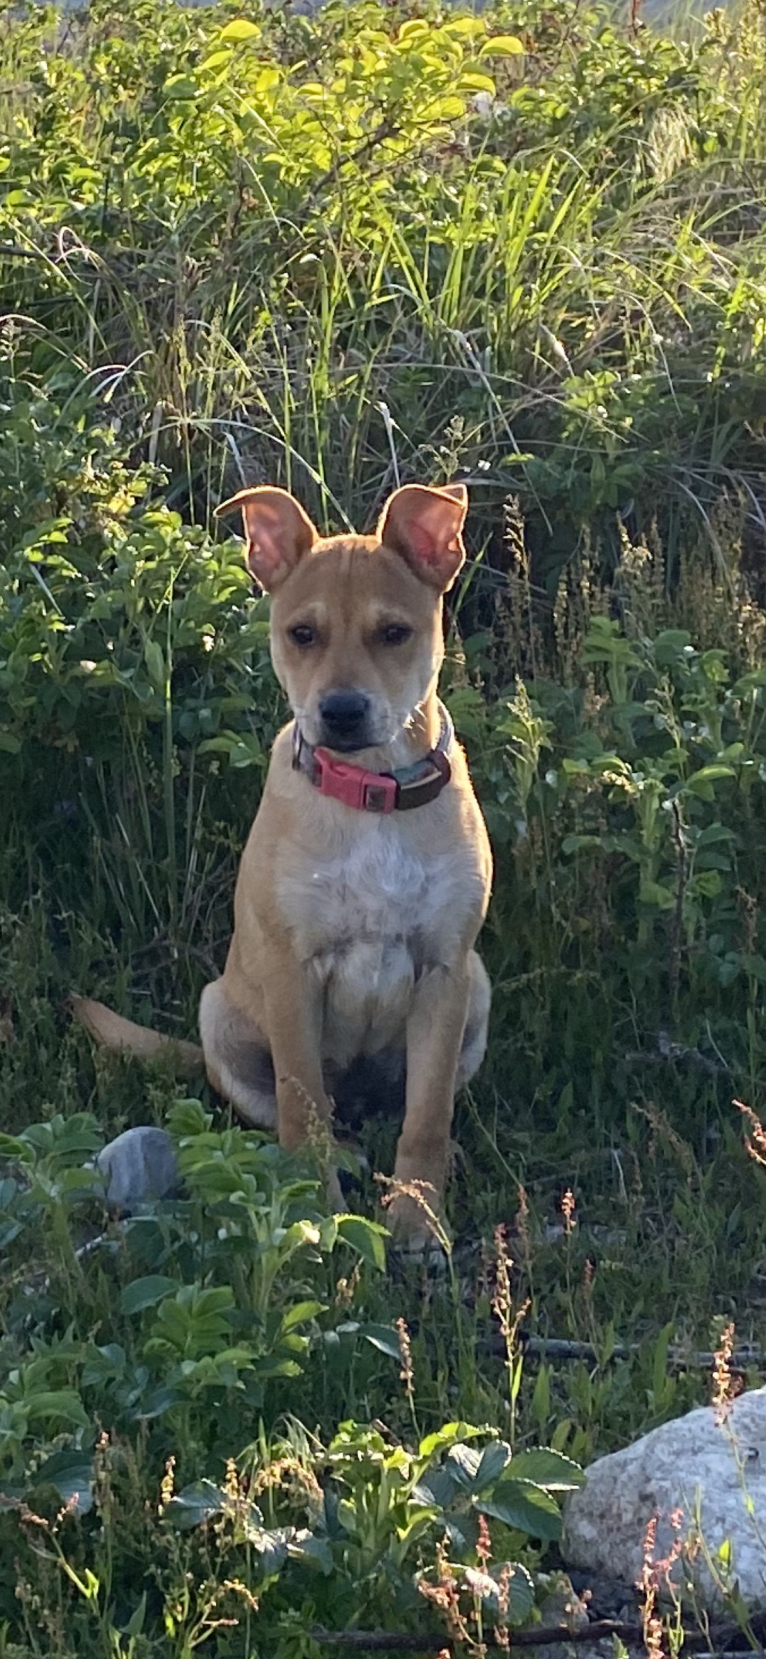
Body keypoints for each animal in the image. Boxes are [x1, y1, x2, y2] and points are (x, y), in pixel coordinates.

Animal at [73, 481, 490, 1247]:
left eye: (395, 633)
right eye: (302, 634)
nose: (343, 711)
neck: (371, 794)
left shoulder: (444, 971)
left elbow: (426, 1114)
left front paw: (418, 1216)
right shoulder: (293, 972)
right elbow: (301, 1104)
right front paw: (316, 1207)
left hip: (478, 989)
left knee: (412, 1105)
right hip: (219, 1013)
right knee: (300, 1112)